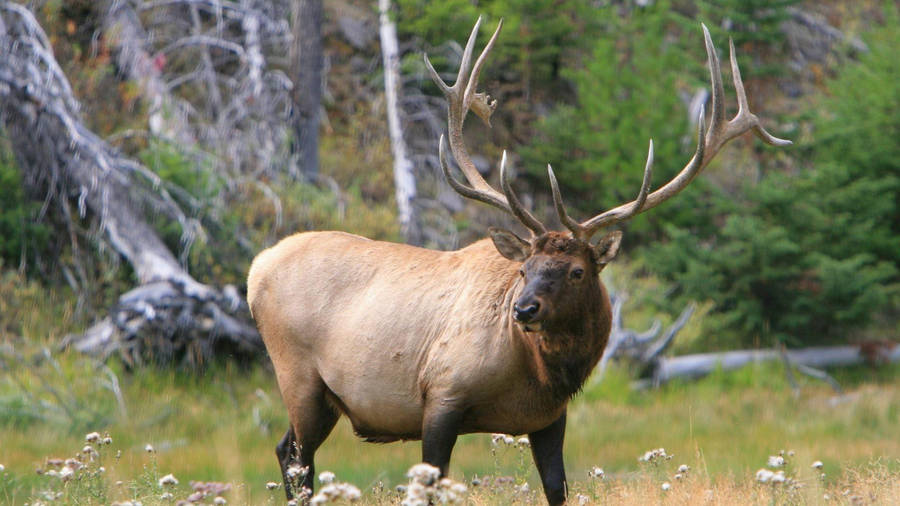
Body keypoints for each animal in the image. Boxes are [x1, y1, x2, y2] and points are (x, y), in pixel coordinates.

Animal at [246, 17, 790, 505]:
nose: (523, 310)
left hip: (323, 398)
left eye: (576, 271)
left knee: (286, 452)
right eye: (524, 270)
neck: (537, 374)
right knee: (295, 457)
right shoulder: (441, 395)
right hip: (299, 375)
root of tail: (255, 270)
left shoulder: (549, 419)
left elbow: (557, 489)